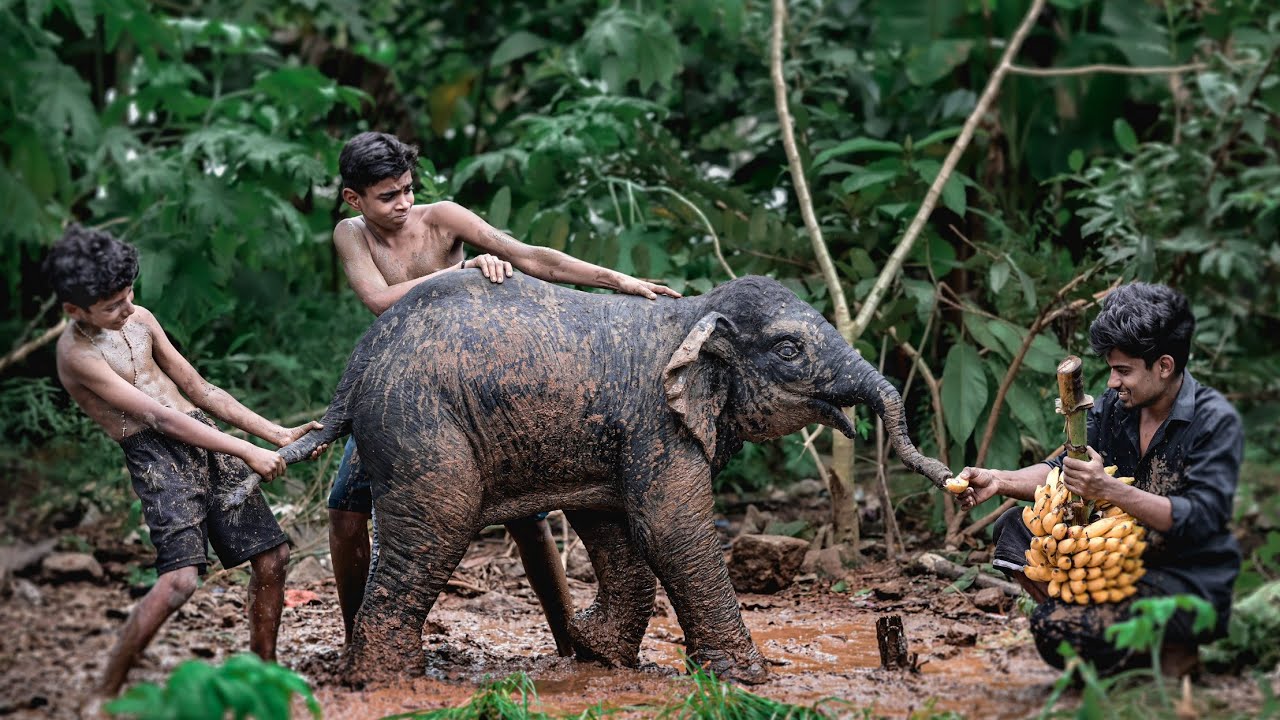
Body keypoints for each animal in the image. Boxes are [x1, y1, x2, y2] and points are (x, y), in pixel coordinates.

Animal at [279, 271, 952, 685]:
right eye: (790, 351)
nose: (952, 478)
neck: (693, 313)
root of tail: (355, 368)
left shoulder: (612, 430)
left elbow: (613, 525)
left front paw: (599, 652)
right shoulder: (658, 419)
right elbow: (669, 529)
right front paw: (748, 678)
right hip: (417, 423)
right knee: (436, 527)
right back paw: (392, 678)